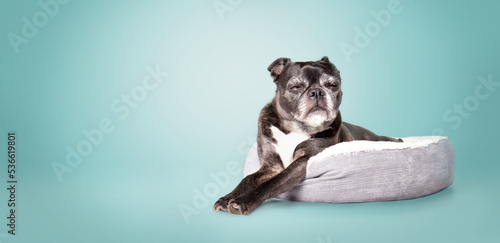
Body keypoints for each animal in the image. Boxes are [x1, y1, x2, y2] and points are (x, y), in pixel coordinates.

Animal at [213, 56, 400, 215]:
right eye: (295, 87)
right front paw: (227, 198)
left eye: (332, 85)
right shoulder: (271, 166)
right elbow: (248, 179)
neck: (296, 128)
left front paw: (243, 201)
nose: (317, 92)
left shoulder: (303, 161)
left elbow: (273, 183)